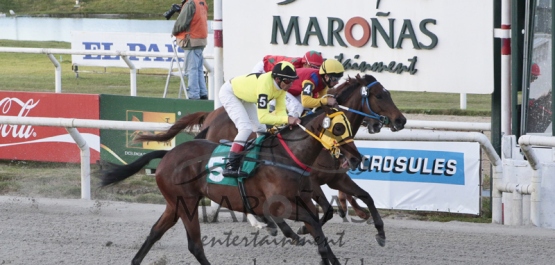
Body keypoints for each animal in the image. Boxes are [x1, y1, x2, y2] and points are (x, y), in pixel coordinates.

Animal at [97, 106, 362, 264]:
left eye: (349, 126)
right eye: (339, 127)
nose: (357, 158)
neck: (286, 156)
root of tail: (168, 154)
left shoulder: (302, 198)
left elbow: (317, 226)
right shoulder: (280, 205)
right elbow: (313, 225)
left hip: (174, 204)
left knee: (155, 232)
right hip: (186, 203)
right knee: (195, 245)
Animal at [138, 73, 408, 244]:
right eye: (380, 96)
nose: (401, 120)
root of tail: (212, 116)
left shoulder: (335, 178)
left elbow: (365, 197)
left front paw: (377, 229)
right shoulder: (312, 182)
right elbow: (326, 210)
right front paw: (303, 227)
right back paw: (259, 221)